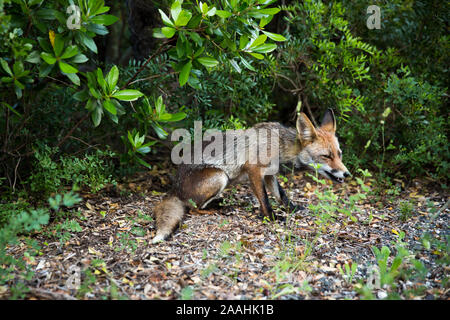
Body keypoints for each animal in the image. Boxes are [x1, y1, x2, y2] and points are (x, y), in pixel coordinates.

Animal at [153, 109, 350, 242]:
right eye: (326, 156)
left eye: (339, 154)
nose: (347, 174)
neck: (279, 145)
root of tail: (175, 188)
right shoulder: (254, 169)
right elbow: (264, 198)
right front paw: (271, 218)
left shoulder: (270, 174)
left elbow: (280, 194)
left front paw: (292, 208)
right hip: (220, 176)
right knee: (193, 208)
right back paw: (218, 209)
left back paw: (221, 203)